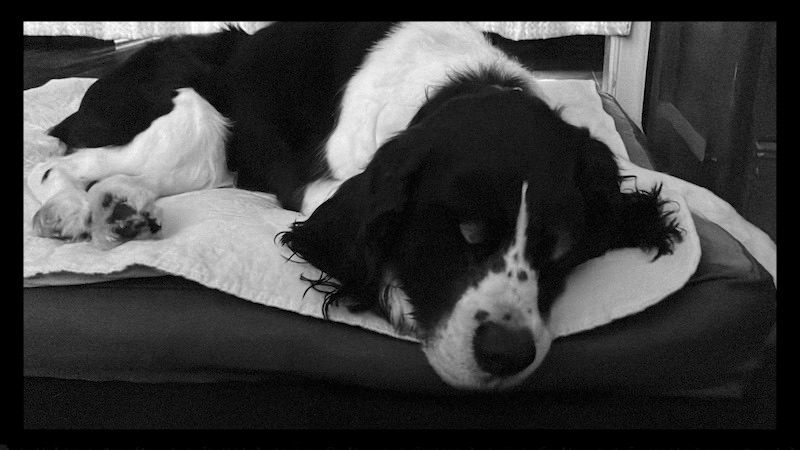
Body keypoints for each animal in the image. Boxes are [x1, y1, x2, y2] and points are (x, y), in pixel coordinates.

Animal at [29, 21, 680, 388]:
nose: (506, 354)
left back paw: (121, 210)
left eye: (562, 251)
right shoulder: (320, 188)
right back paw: (71, 212)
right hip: (195, 126)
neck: (458, 81)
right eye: (463, 233)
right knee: (53, 165)